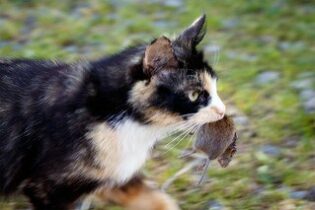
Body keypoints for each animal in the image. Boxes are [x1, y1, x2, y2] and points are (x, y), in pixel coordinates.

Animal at [0, 14, 227, 210]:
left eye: (215, 85)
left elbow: (155, 199)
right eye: (195, 94)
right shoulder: (46, 187)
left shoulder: (115, 176)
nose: (222, 110)